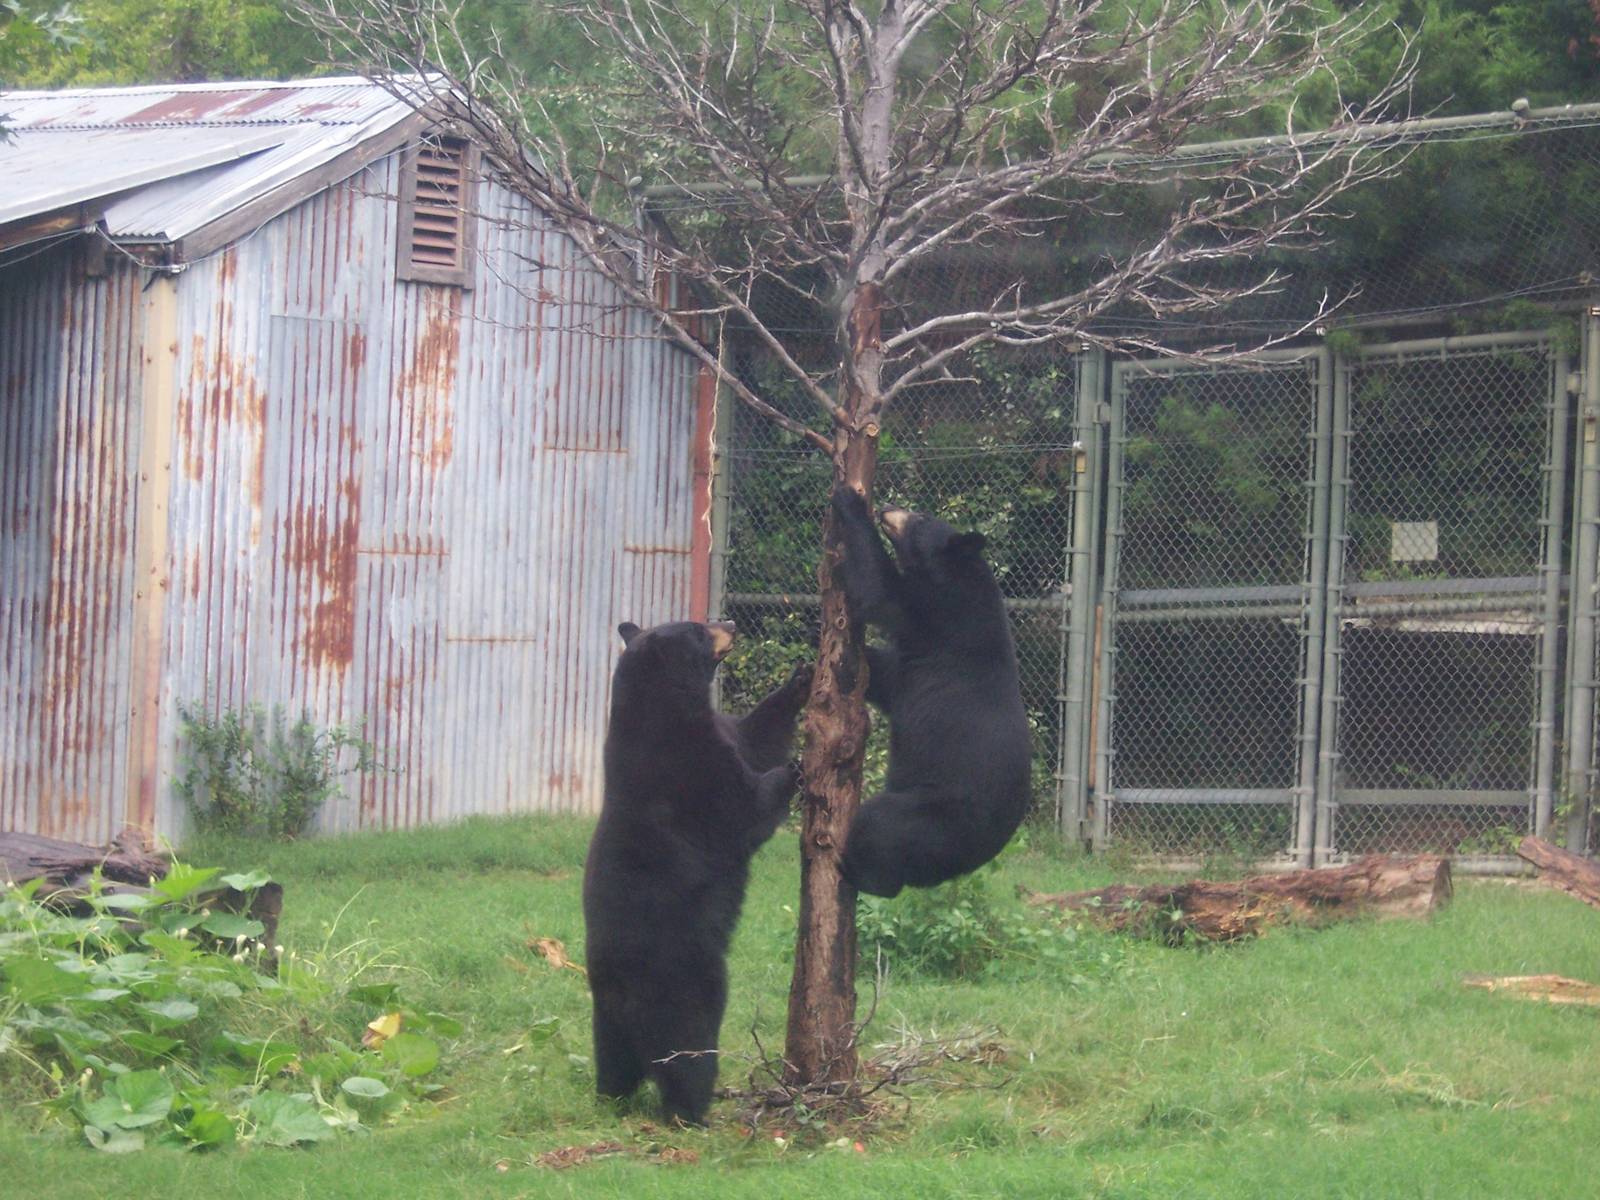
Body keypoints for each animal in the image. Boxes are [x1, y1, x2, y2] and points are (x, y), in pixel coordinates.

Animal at [583, 619, 811, 1125]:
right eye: (697, 630)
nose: (730, 623)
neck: (664, 712)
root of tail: (625, 996)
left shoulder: (720, 736)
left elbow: (757, 737)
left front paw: (801, 677)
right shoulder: (689, 775)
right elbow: (744, 809)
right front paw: (798, 767)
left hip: (605, 1021)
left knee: (612, 1062)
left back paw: (611, 1097)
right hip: (687, 987)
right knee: (688, 1056)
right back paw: (693, 1113)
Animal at [831, 486, 1032, 898]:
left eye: (922, 517)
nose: (889, 507)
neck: (958, 573)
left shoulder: (938, 612)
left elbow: (880, 591)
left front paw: (849, 501)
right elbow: (889, 677)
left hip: (932, 814)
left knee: (881, 823)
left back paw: (856, 870)